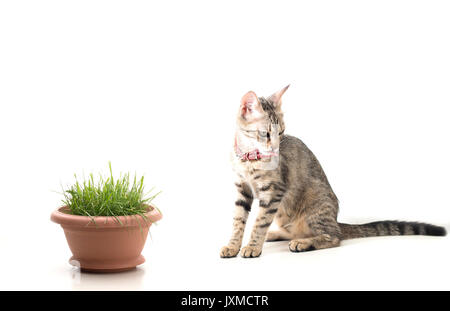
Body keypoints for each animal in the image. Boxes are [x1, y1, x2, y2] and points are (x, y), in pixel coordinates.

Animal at [220, 85, 444, 258]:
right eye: (265, 134)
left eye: (281, 132)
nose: (276, 148)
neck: (249, 159)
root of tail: (336, 219)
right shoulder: (242, 190)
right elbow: (238, 221)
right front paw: (233, 246)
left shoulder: (274, 192)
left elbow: (259, 222)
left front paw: (252, 246)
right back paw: (277, 235)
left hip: (315, 207)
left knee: (334, 236)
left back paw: (303, 242)